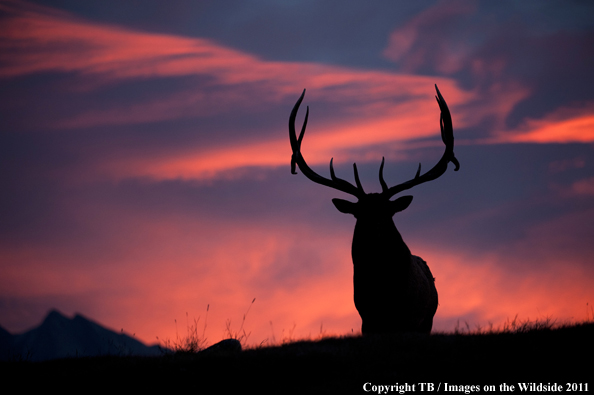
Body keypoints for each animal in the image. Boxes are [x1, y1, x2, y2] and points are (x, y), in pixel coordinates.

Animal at [286, 84, 458, 334]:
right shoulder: (366, 320)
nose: (375, 230)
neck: (382, 289)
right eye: (360, 212)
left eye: (388, 212)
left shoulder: (408, 319)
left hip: (427, 321)